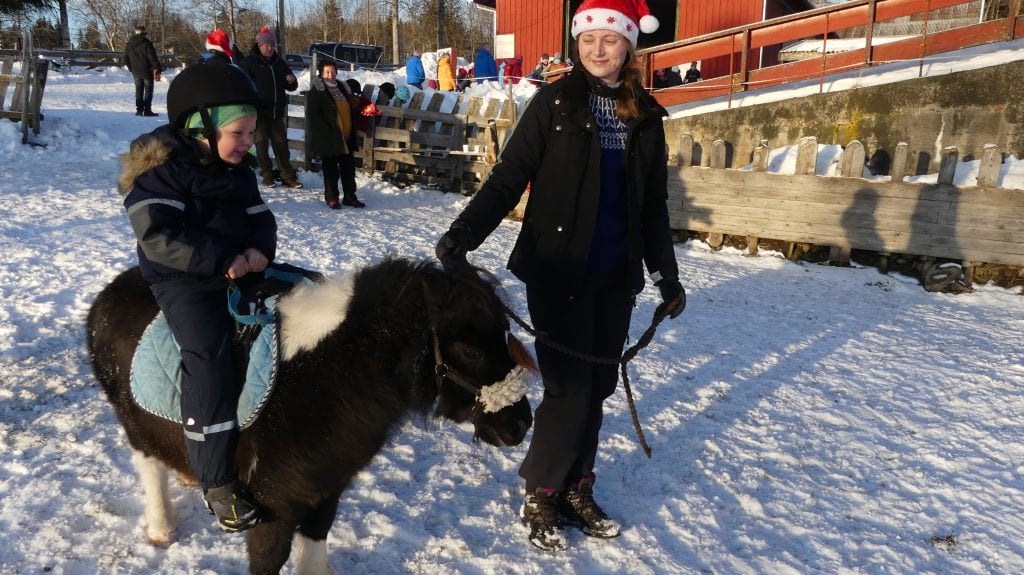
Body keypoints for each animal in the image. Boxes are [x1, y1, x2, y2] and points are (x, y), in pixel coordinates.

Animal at [87, 257, 536, 568]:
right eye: (472, 351)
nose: (521, 424)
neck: (322, 382)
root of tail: (109, 294)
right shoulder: (272, 510)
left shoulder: (326, 492)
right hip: (135, 424)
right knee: (148, 463)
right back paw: (161, 528)